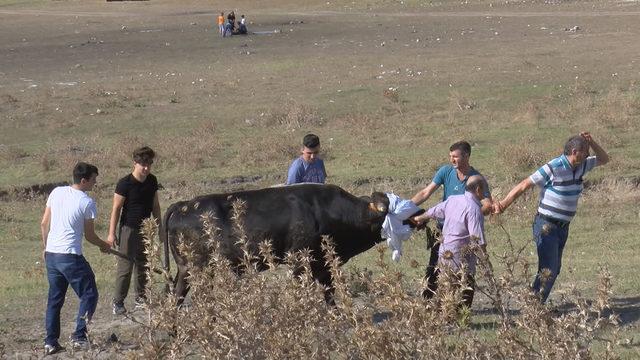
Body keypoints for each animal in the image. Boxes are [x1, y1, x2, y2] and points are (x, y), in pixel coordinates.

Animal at [160, 184, 392, 302]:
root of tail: (183, 204)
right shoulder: (299, 262)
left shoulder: (322, 265)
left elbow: (328, 292)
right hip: (198, 268)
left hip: (186, 269)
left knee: (175, 296)